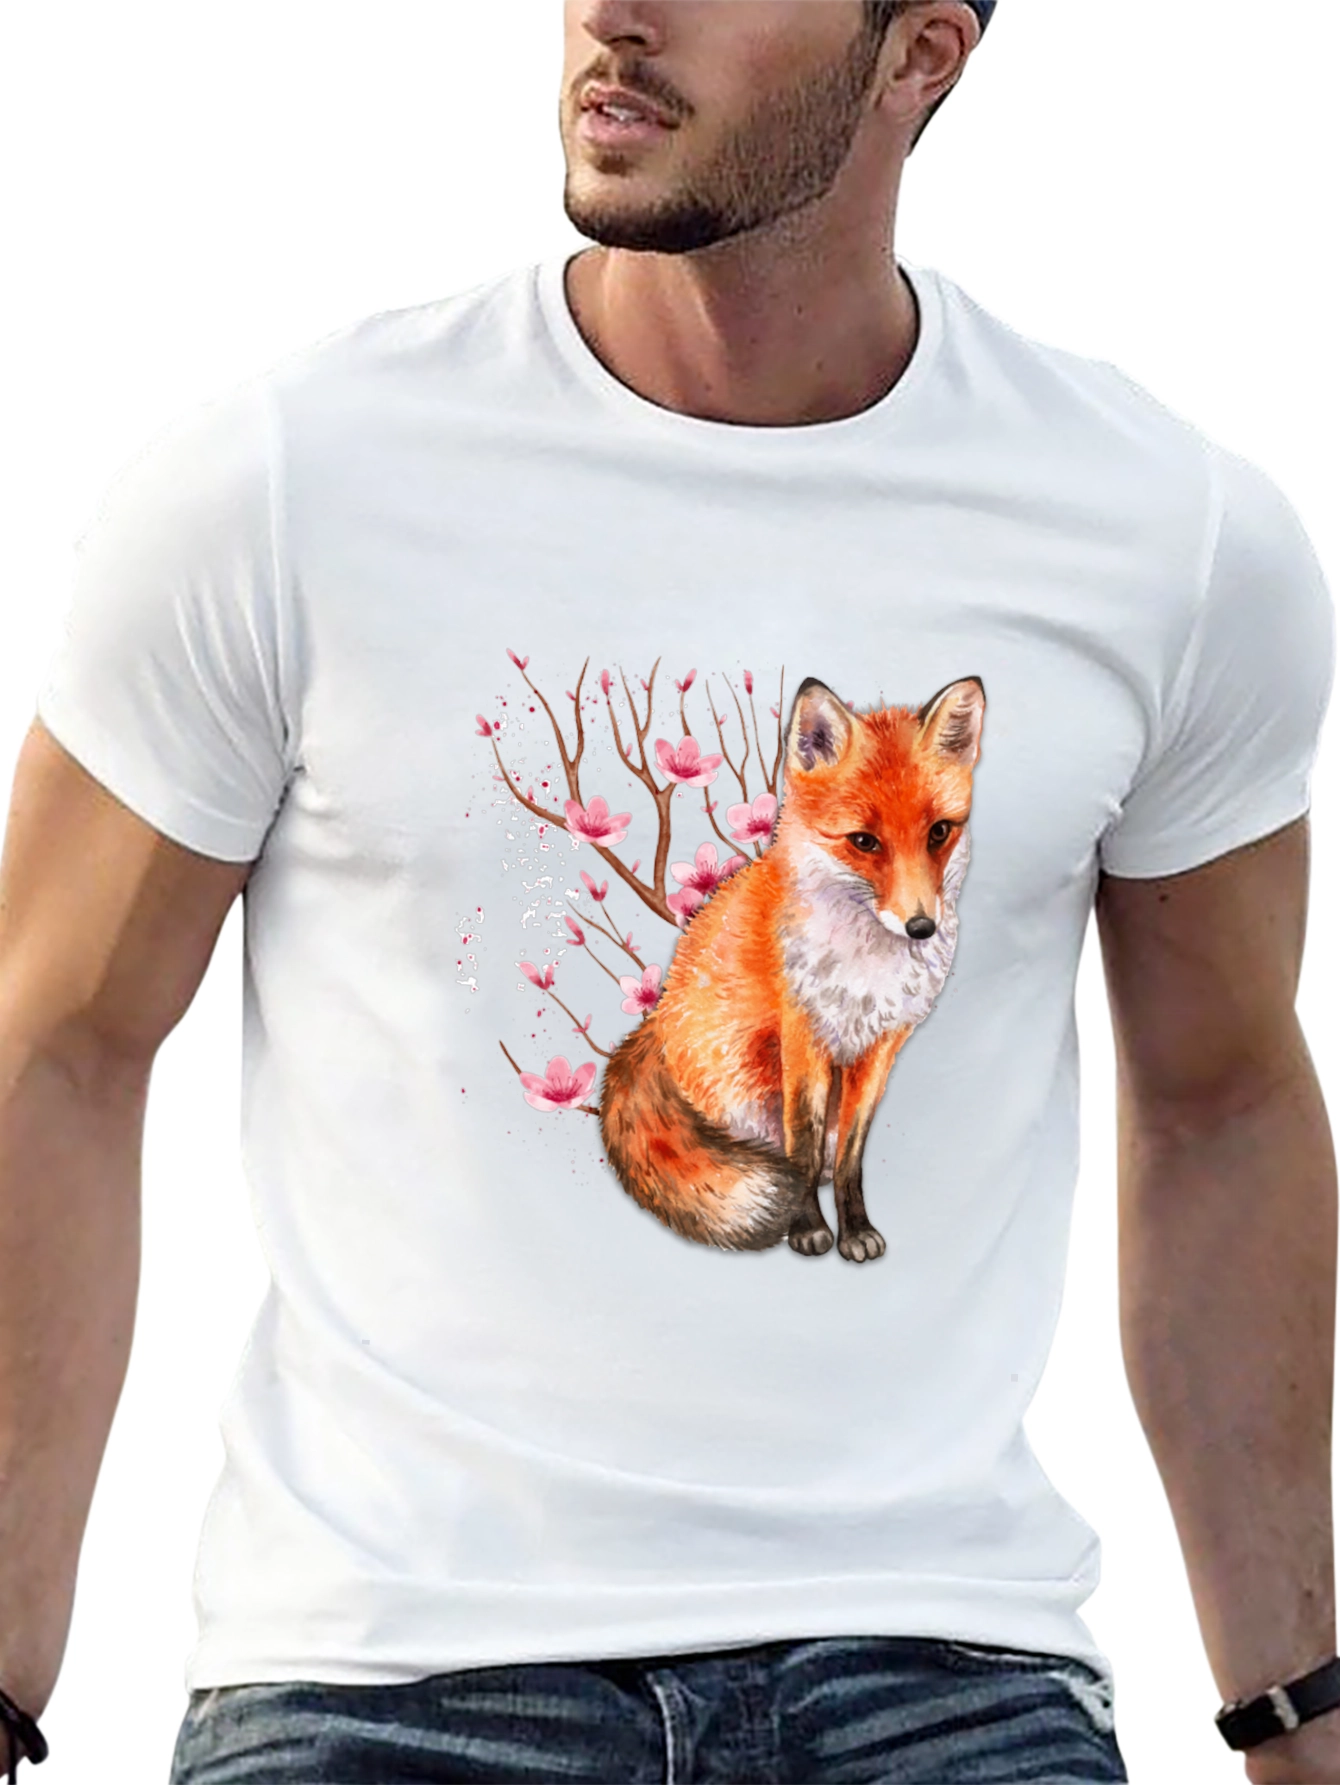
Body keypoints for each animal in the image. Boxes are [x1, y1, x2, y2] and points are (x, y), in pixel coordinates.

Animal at [597, 674, 986, 1263]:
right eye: (864, 841)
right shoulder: (802, 1035)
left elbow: (850, 1155)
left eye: (939, 832)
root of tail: (653, 1028)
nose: (921, 927)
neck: (865, 973)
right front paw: (806, 1227)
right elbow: (800, 1145)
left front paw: (854, 1228)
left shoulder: (880, 1048)